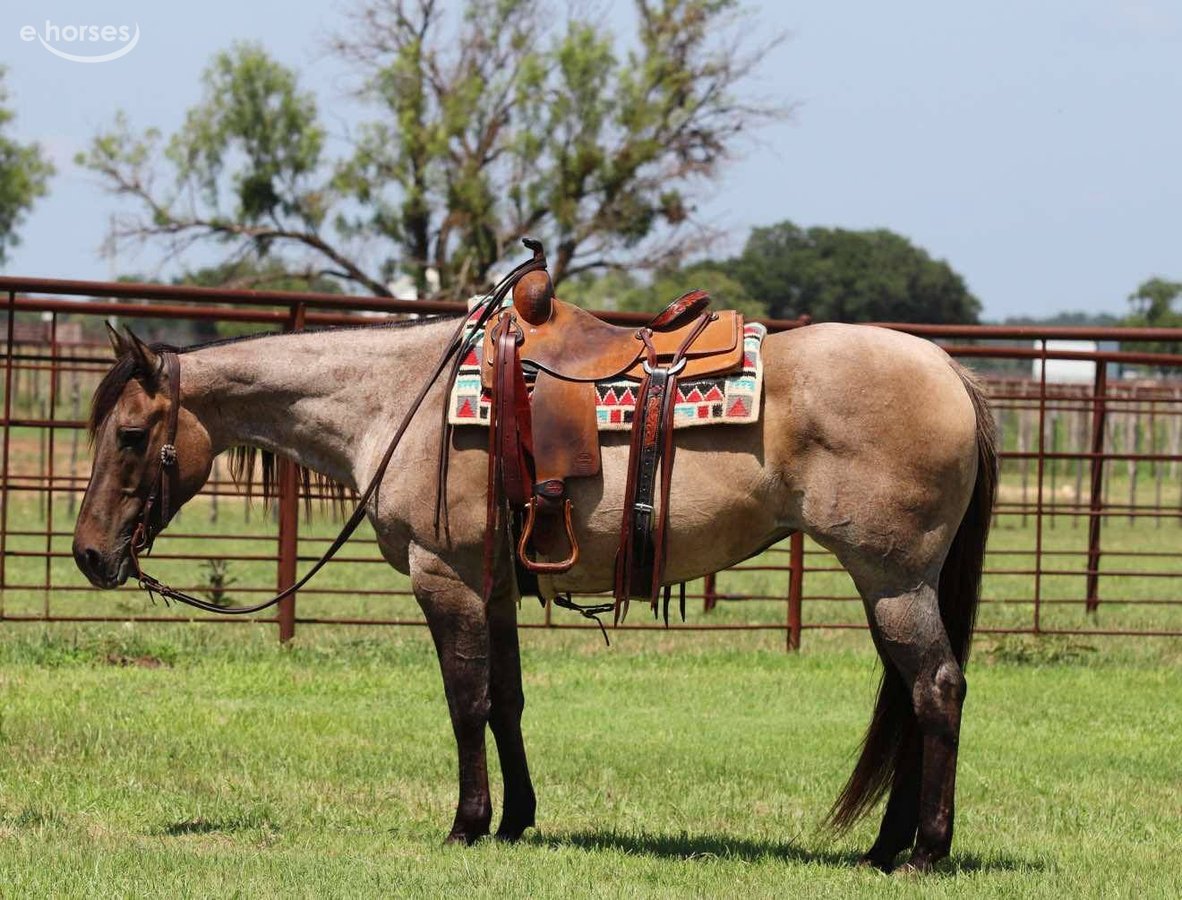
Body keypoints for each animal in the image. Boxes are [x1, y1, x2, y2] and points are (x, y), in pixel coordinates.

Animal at [72, 314, 996, 873]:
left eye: (131, 435)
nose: (86, 555)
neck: (397, 402)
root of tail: (951, 371)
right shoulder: (493, 586)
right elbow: (507, 701)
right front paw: (517, 818)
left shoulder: (443, 576)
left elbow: (465, 701)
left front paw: (466, 821)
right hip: (889, 585)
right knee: (910, 699)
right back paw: (885, 846)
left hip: (893, 579)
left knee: (935, 691)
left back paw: (926, 850)